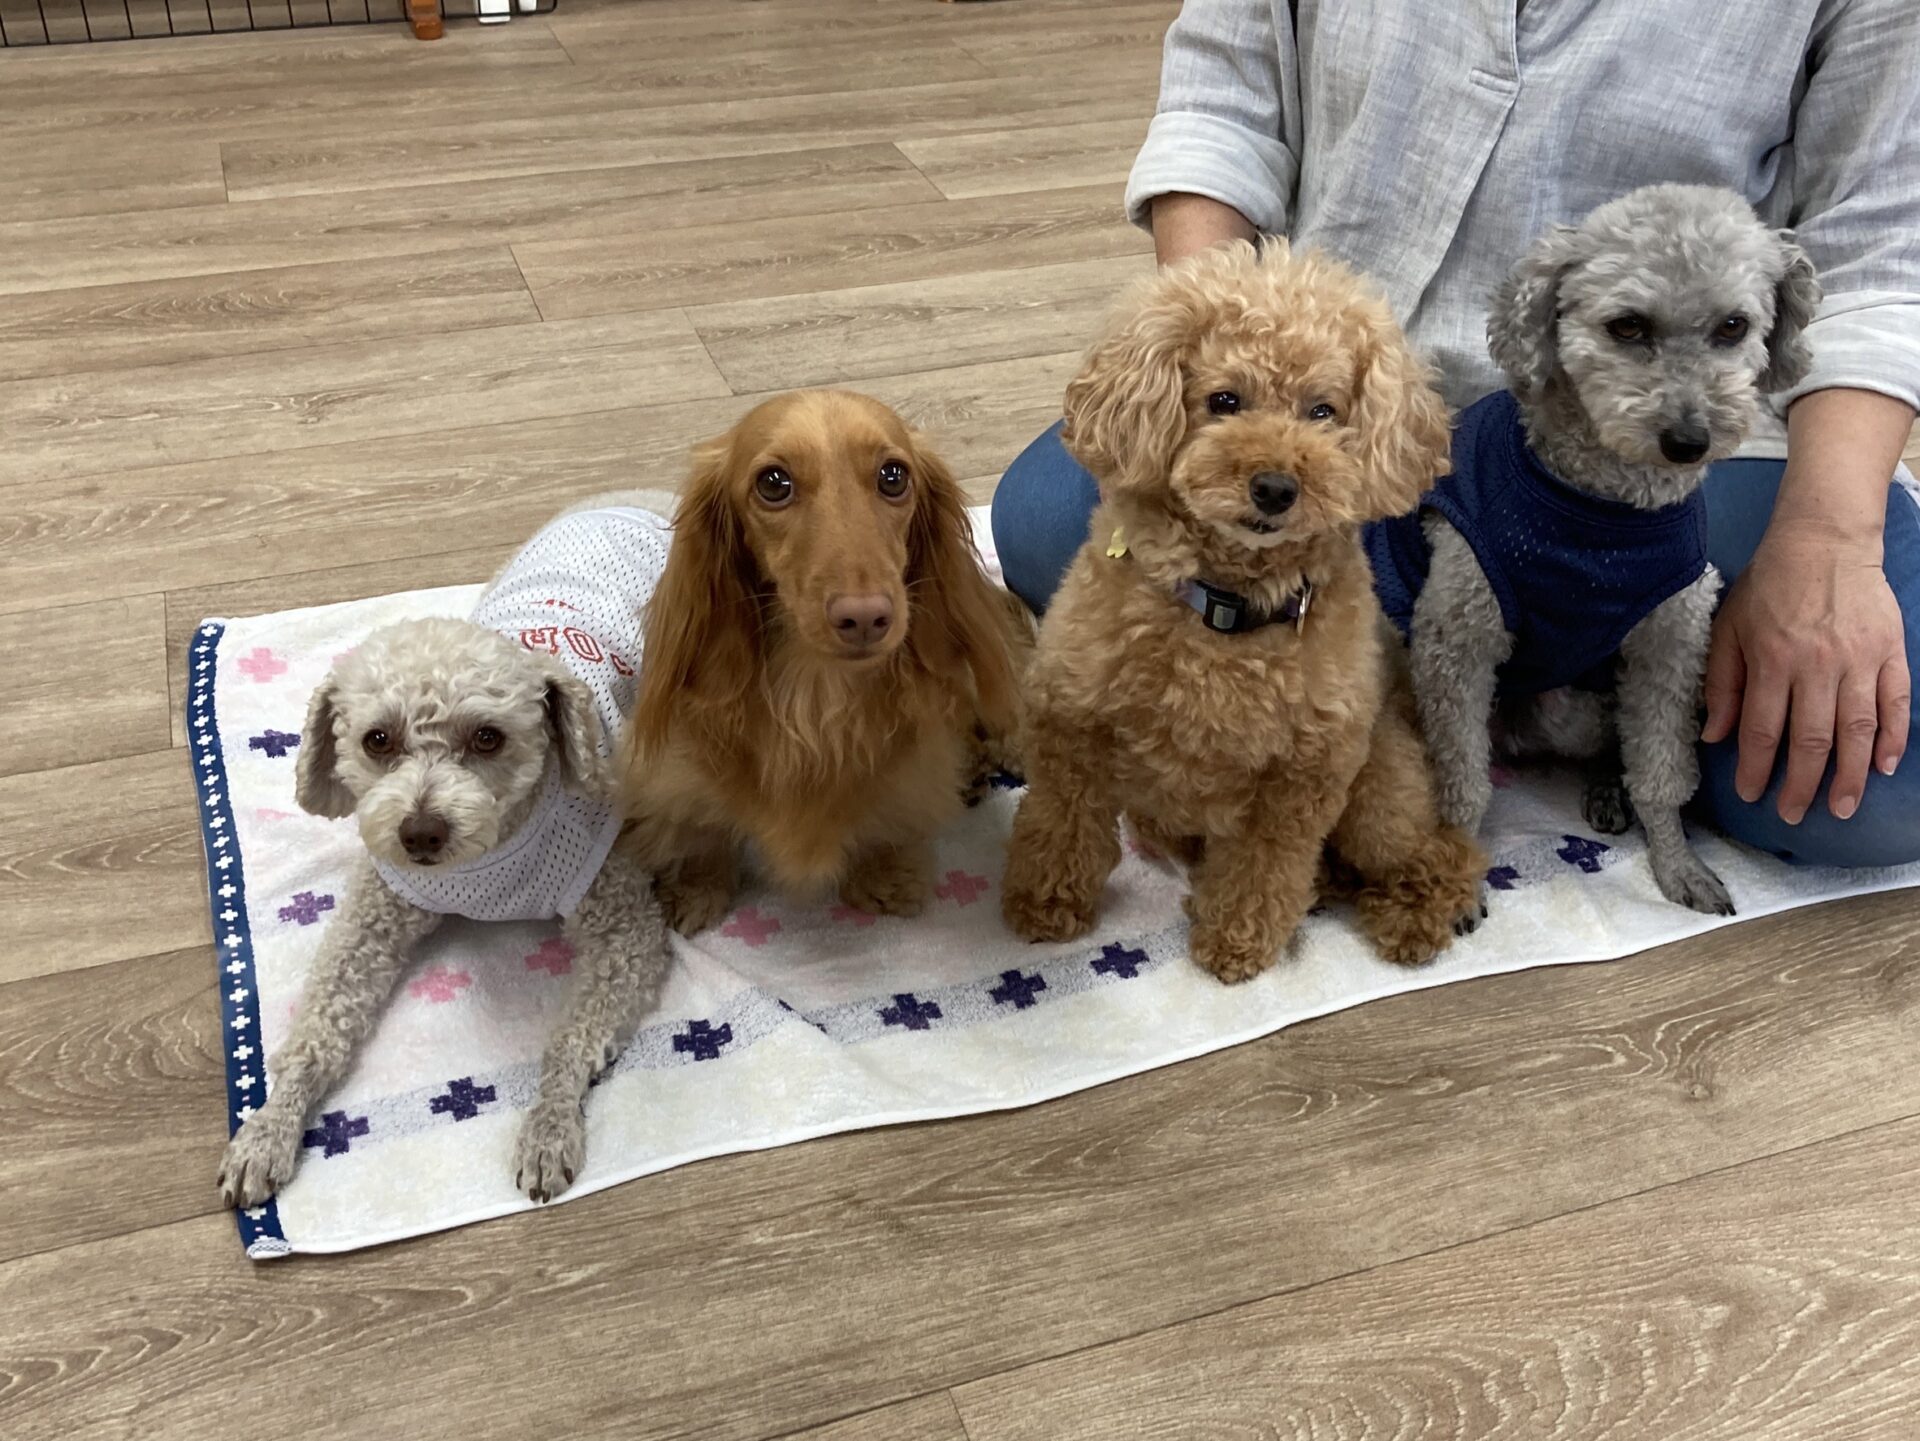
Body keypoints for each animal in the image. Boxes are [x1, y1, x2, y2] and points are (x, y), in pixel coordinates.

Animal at [219, 499, 675, 1209]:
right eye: (377, 740)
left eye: (488, 737)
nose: (420, 833)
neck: (487, 861)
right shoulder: (375, 912)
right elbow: (316, 1030)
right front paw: (267, 1130)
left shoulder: (623, 926)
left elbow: (570, 1042)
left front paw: (549, 1127)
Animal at [621, 389, 1025, 931]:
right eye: (773, 483)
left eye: (893, 476)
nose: (866, 617)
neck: (816, 696)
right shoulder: (675, 772)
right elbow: (699, 830)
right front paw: (696, 887)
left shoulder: (913, 770)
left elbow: (890, 818)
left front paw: (884, 876)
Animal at [1001, 241, 1487, 982]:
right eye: (1224, 400)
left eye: (1323, 411)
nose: (1276, 487)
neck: (1227, 609)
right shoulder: (1071, 721)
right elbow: (1062, 822)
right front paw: (1045, 907)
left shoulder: (1304, 773)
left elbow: (1264, 866)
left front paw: (1237, 943)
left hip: (1381, 792)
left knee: (1439, 848)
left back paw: (1418, 916)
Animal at [1367, 184, 1821, 915]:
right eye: (1627, 327)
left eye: (1733, 326)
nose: (1688, 440)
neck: (1604, 511)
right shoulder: (1456, 639)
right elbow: (1459, 781)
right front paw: (1457, 876)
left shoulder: (1673, 637)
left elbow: (1663, 772)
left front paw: (1677, 863)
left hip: (1582, 706)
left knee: (1617, 743)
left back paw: (1609, 790)